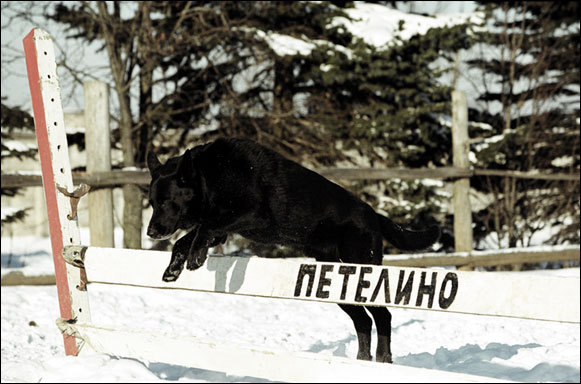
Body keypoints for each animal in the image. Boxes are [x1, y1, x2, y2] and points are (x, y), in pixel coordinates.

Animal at [146, 138, 440, 364]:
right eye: (152, 202)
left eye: (166, 202)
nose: (150, 232)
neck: (213, 175)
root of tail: (374, 215)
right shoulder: (222, 228)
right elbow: (185, 239)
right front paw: (173, 268)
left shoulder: (249, 214)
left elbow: (204, 227)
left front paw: (196, 256)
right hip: (337, 280)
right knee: (363, 320)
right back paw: (363, 360)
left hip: (362, 272)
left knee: (383, 315)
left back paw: (383, 359)